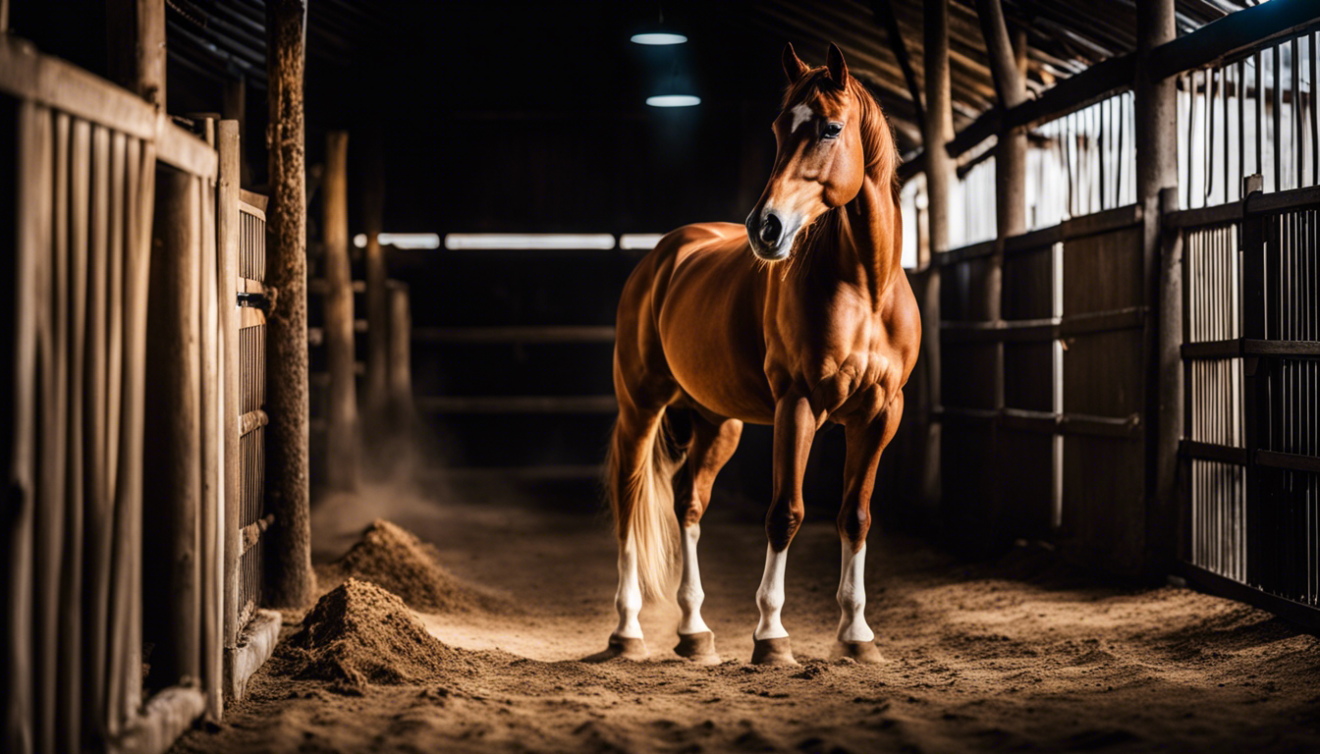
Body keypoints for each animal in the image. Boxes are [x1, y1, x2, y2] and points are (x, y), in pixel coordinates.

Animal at [600, 42, 920, 666]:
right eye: (778, 129)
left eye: (830, 128)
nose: (764, 228)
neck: (866, 288)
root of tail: (663, 256)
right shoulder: (798, 405)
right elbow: (785, 513)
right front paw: (771, 636)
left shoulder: (881, 416)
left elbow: (856, 515)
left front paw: (856, 636)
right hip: (640, 409)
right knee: (629, 502)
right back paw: (627, 632)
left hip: (716, 422)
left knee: (688, 507)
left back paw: (695, 632)